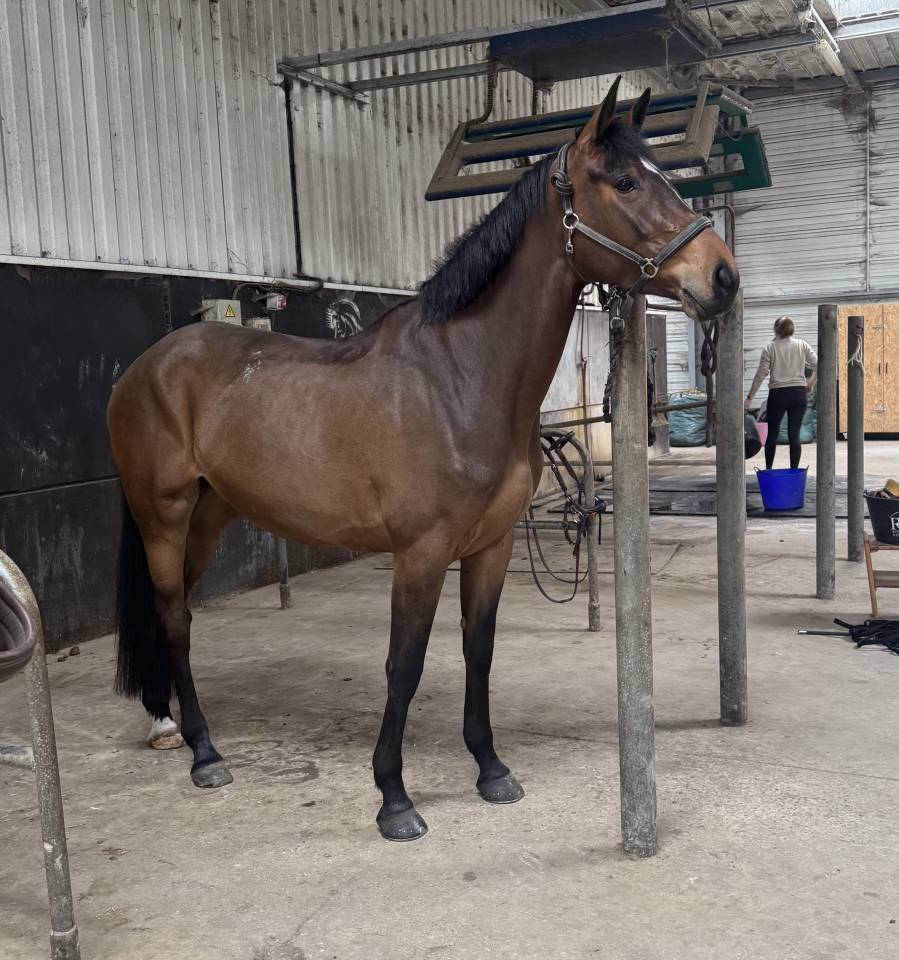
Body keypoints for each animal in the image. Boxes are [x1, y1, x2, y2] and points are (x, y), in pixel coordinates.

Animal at [107, 79, 739, 841]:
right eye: (623, 183)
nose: (723, 277)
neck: (459, 379)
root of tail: (145, 367)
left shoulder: (492, 546)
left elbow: (477, 651)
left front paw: (490, 769)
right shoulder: (419, 553)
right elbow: (402, 667)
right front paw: (394, 797)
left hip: (209, 515)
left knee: (173, 617)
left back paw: (169, 723)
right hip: (163, 517)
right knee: (172, 618)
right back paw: (204, 752)